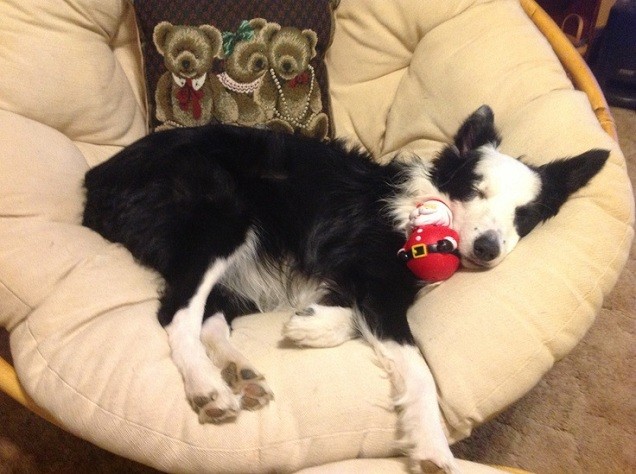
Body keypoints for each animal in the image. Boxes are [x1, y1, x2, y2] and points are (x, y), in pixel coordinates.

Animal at [82, 105, 608, 472]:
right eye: (474, 190)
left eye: (526, 215)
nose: (487, 248)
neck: (422, 204)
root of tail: (95, 178)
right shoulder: (372, 273)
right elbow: (419, 369)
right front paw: (432, 447)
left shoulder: (366, 282)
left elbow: (348, 313)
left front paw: (312, 325)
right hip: (224, 216)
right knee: (176, 314)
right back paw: (208, 388)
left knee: (208, 316)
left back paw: (238, 371)